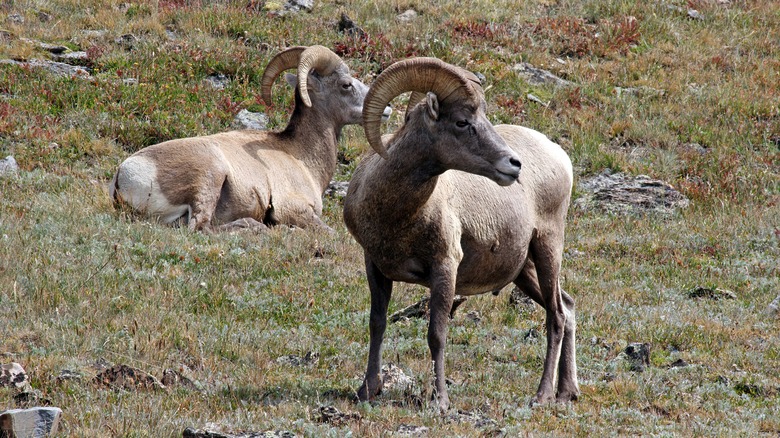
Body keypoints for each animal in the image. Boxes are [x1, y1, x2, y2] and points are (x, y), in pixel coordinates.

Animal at [112, 44, 386, 233]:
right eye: (346, 84)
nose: (386, 109)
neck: (301, 156)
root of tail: (124, 175)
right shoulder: (294, 209)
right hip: (210, 176)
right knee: (201, 227)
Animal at [342, 58, 580, 410]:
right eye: (462, 122)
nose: (514, 164)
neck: (398, 215)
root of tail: (560, 157)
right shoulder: (375, 266)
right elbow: (377, 324)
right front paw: (367, 390)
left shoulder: (445, 268)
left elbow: (437, 334)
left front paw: (439, 400)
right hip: (524, 271)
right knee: (568, 307)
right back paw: (567, 392)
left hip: (548, 249)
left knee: (557, 317)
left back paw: (543, 395)